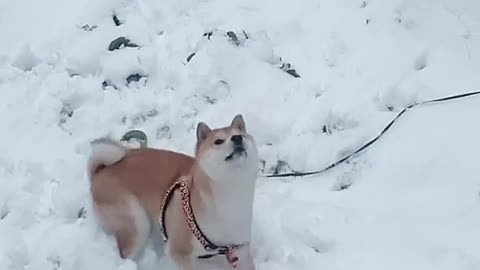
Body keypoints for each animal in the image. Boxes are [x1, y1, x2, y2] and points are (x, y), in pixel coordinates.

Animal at [86, 115, 258, 268]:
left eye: (241, 135)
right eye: (218, 141)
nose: (237, 139)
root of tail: (101, 171)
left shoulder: (240, 249)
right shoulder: (180, 251)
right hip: (136, 223)